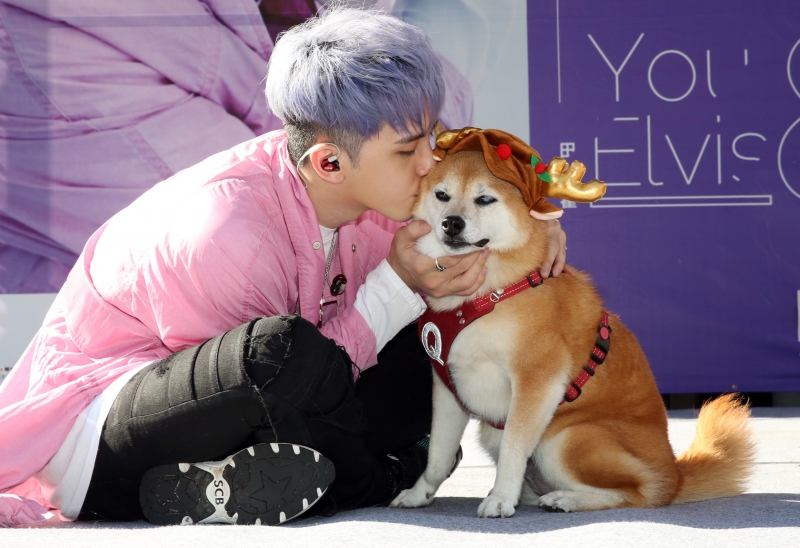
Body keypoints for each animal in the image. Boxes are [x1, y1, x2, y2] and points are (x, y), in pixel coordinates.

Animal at [391, 128, 755, 517]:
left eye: (485, 199)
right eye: (442, 195)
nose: (452, 222)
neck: (487, 295)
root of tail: (675, 475)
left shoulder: (538, 377)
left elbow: (513, 448)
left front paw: (500, 498)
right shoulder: (448, 386)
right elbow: (438, 458)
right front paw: (418, 493)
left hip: (564, 437)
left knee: (637, 494)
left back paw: (566, 499)